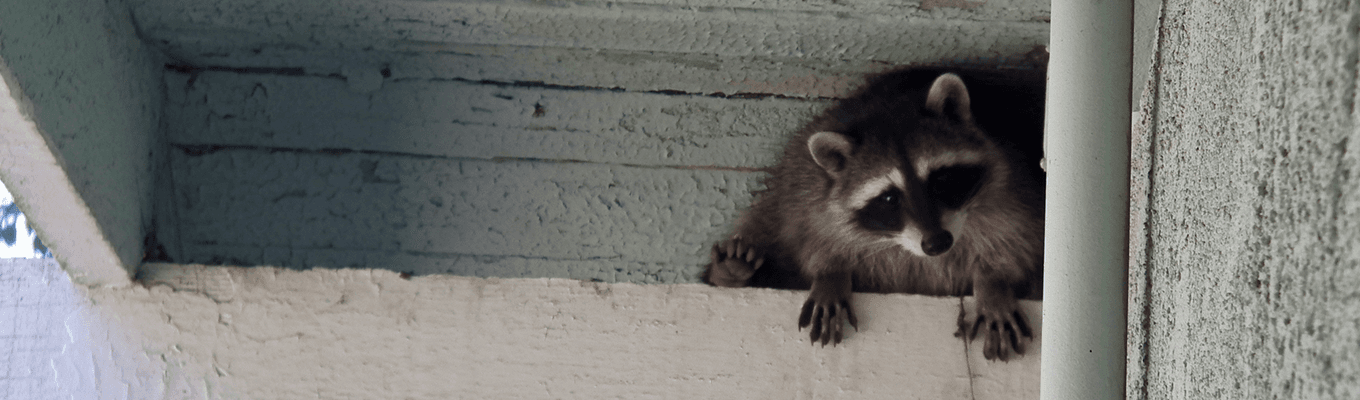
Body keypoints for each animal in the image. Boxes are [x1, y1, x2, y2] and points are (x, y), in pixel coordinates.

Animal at [702, 68, 1045, 361]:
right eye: (890, 197)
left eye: (941, 180)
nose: (937, 243)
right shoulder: (809, 191)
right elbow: (813, 229)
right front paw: (831, 270)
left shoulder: (1013, 182)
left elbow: (1017, 236)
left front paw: (994, 280)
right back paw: (732, 270)